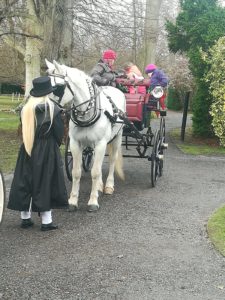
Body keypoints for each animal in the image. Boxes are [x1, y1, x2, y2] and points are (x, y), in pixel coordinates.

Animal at [45, 59, 126, 212]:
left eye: (57, 87)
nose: (44, 109)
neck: (88, 111)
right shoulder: (75, 144)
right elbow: (77, 172)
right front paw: (72, 201)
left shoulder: (100, 144)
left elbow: (95, 172)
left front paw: (93, 201)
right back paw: (99, 185)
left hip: (117, 137)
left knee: (112, 160)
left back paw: (108, 185)